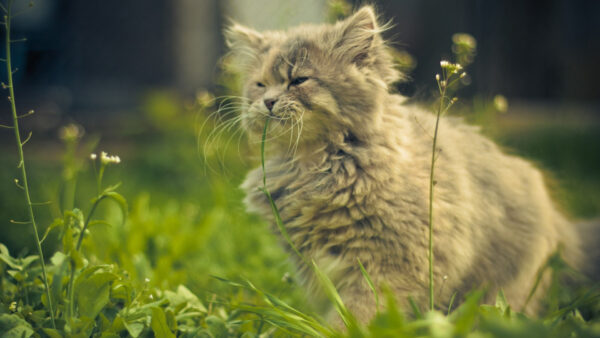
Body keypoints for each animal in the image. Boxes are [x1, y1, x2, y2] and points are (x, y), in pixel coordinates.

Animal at [224, 4, 596, 322]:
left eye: (298, 80)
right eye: (260, 85)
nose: (268, 101)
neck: (313, 165)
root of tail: (563, 227)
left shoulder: (391, 264)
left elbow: (359, 315)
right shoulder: (318, 265)